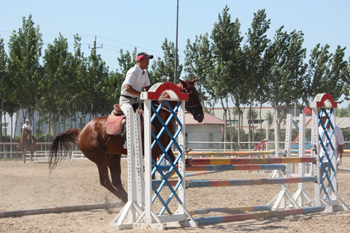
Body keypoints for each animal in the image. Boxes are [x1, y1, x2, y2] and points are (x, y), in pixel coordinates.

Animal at [47, 78, 204, 202]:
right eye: (190, 95)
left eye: (197, 94)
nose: (200, 116)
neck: (160, 117)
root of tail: (81, 132)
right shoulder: (152, 153)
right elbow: (153, 175)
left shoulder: (166, 150)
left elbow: (174, 167)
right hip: (99, 157)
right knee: (106, 181)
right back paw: (125, 200)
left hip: (112, 157)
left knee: (116, 180)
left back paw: (128, 200)